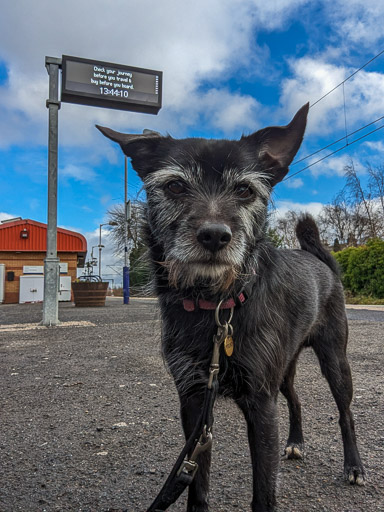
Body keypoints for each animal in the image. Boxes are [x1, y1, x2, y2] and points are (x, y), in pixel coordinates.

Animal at [97, 105, 364, 512]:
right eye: (175, 186)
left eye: (244, 190)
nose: (214, 236)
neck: (216, 305)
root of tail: (322, 263)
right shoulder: (194, 400)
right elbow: (197, 486)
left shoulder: (261, 404)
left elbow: (263, 494)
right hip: (284, 370)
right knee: (296, 399)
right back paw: (296, 442)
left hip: (335, 360)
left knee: (345, 413)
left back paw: (354, 466)